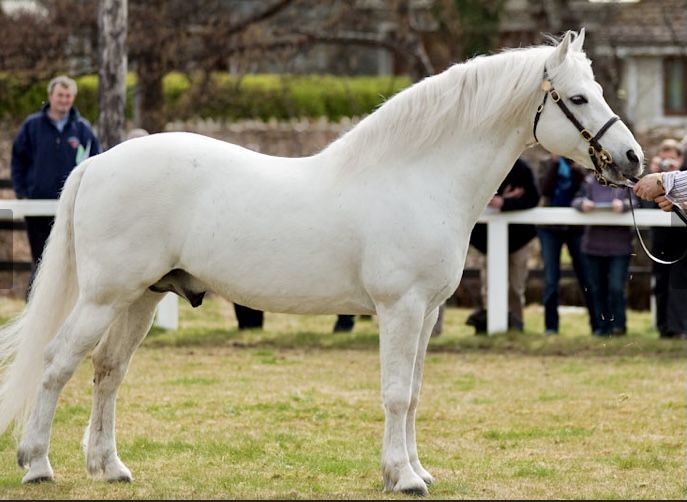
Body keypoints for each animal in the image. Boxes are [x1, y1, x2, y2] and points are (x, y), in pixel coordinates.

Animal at [0, 30, 644, 494]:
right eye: (579, 98)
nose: (633, 158)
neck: (417, 176)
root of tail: (97, 161)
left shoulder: (428, 314)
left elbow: (414, 392)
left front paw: (414, 469)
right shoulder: (401, 309)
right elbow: (395, 393)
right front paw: (404, 479)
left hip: (143, 297)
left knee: (108, 371)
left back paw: (109, 468)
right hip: (105, 296)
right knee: (56, 363)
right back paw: (37, 465)